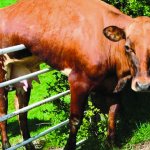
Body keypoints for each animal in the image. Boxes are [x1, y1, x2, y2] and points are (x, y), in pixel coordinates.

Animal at [0, 0, 149, 150]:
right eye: (127, 47)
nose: (143, 85)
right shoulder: (78, 81)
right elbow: (75, 120)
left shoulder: (114, 85)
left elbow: (113, 111)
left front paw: (111, 143)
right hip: (2, 73)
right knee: (4, 110)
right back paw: (6, 144)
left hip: (24, 73)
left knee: (21, 110)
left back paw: (29, 145)